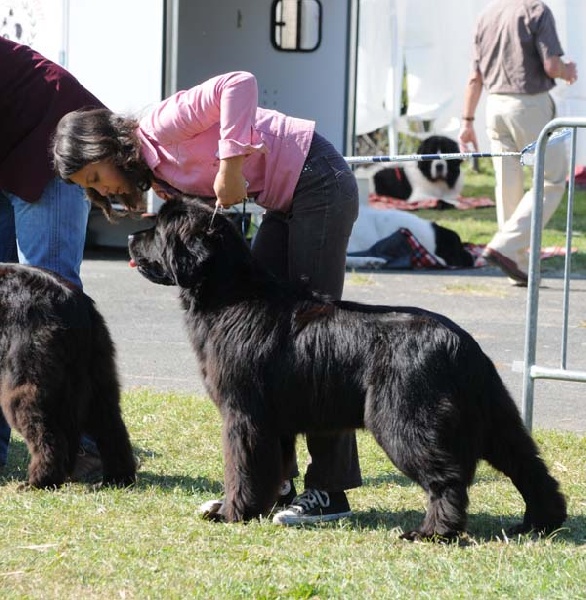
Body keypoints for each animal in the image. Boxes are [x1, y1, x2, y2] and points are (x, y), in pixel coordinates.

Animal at [0, 264, 136, 490]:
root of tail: (73, 304)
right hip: (95, 371)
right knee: (110, 425)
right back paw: (118, 478)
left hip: (27, 370)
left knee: (47, 431)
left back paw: (39, 480)